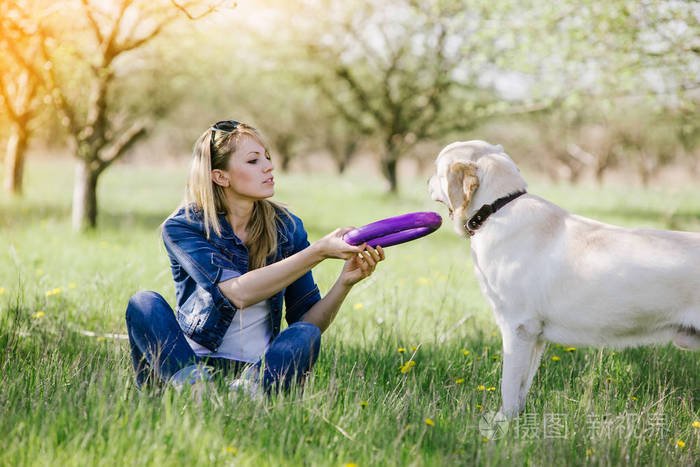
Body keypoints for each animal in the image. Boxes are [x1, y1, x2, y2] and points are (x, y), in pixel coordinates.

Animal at [426, 141, 700, 418]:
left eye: (437, 167)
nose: (427, 180)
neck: (496, 209)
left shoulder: (518, 328)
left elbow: (509, 384)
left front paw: (502, 420)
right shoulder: (535, 337)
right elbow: (523, 384)